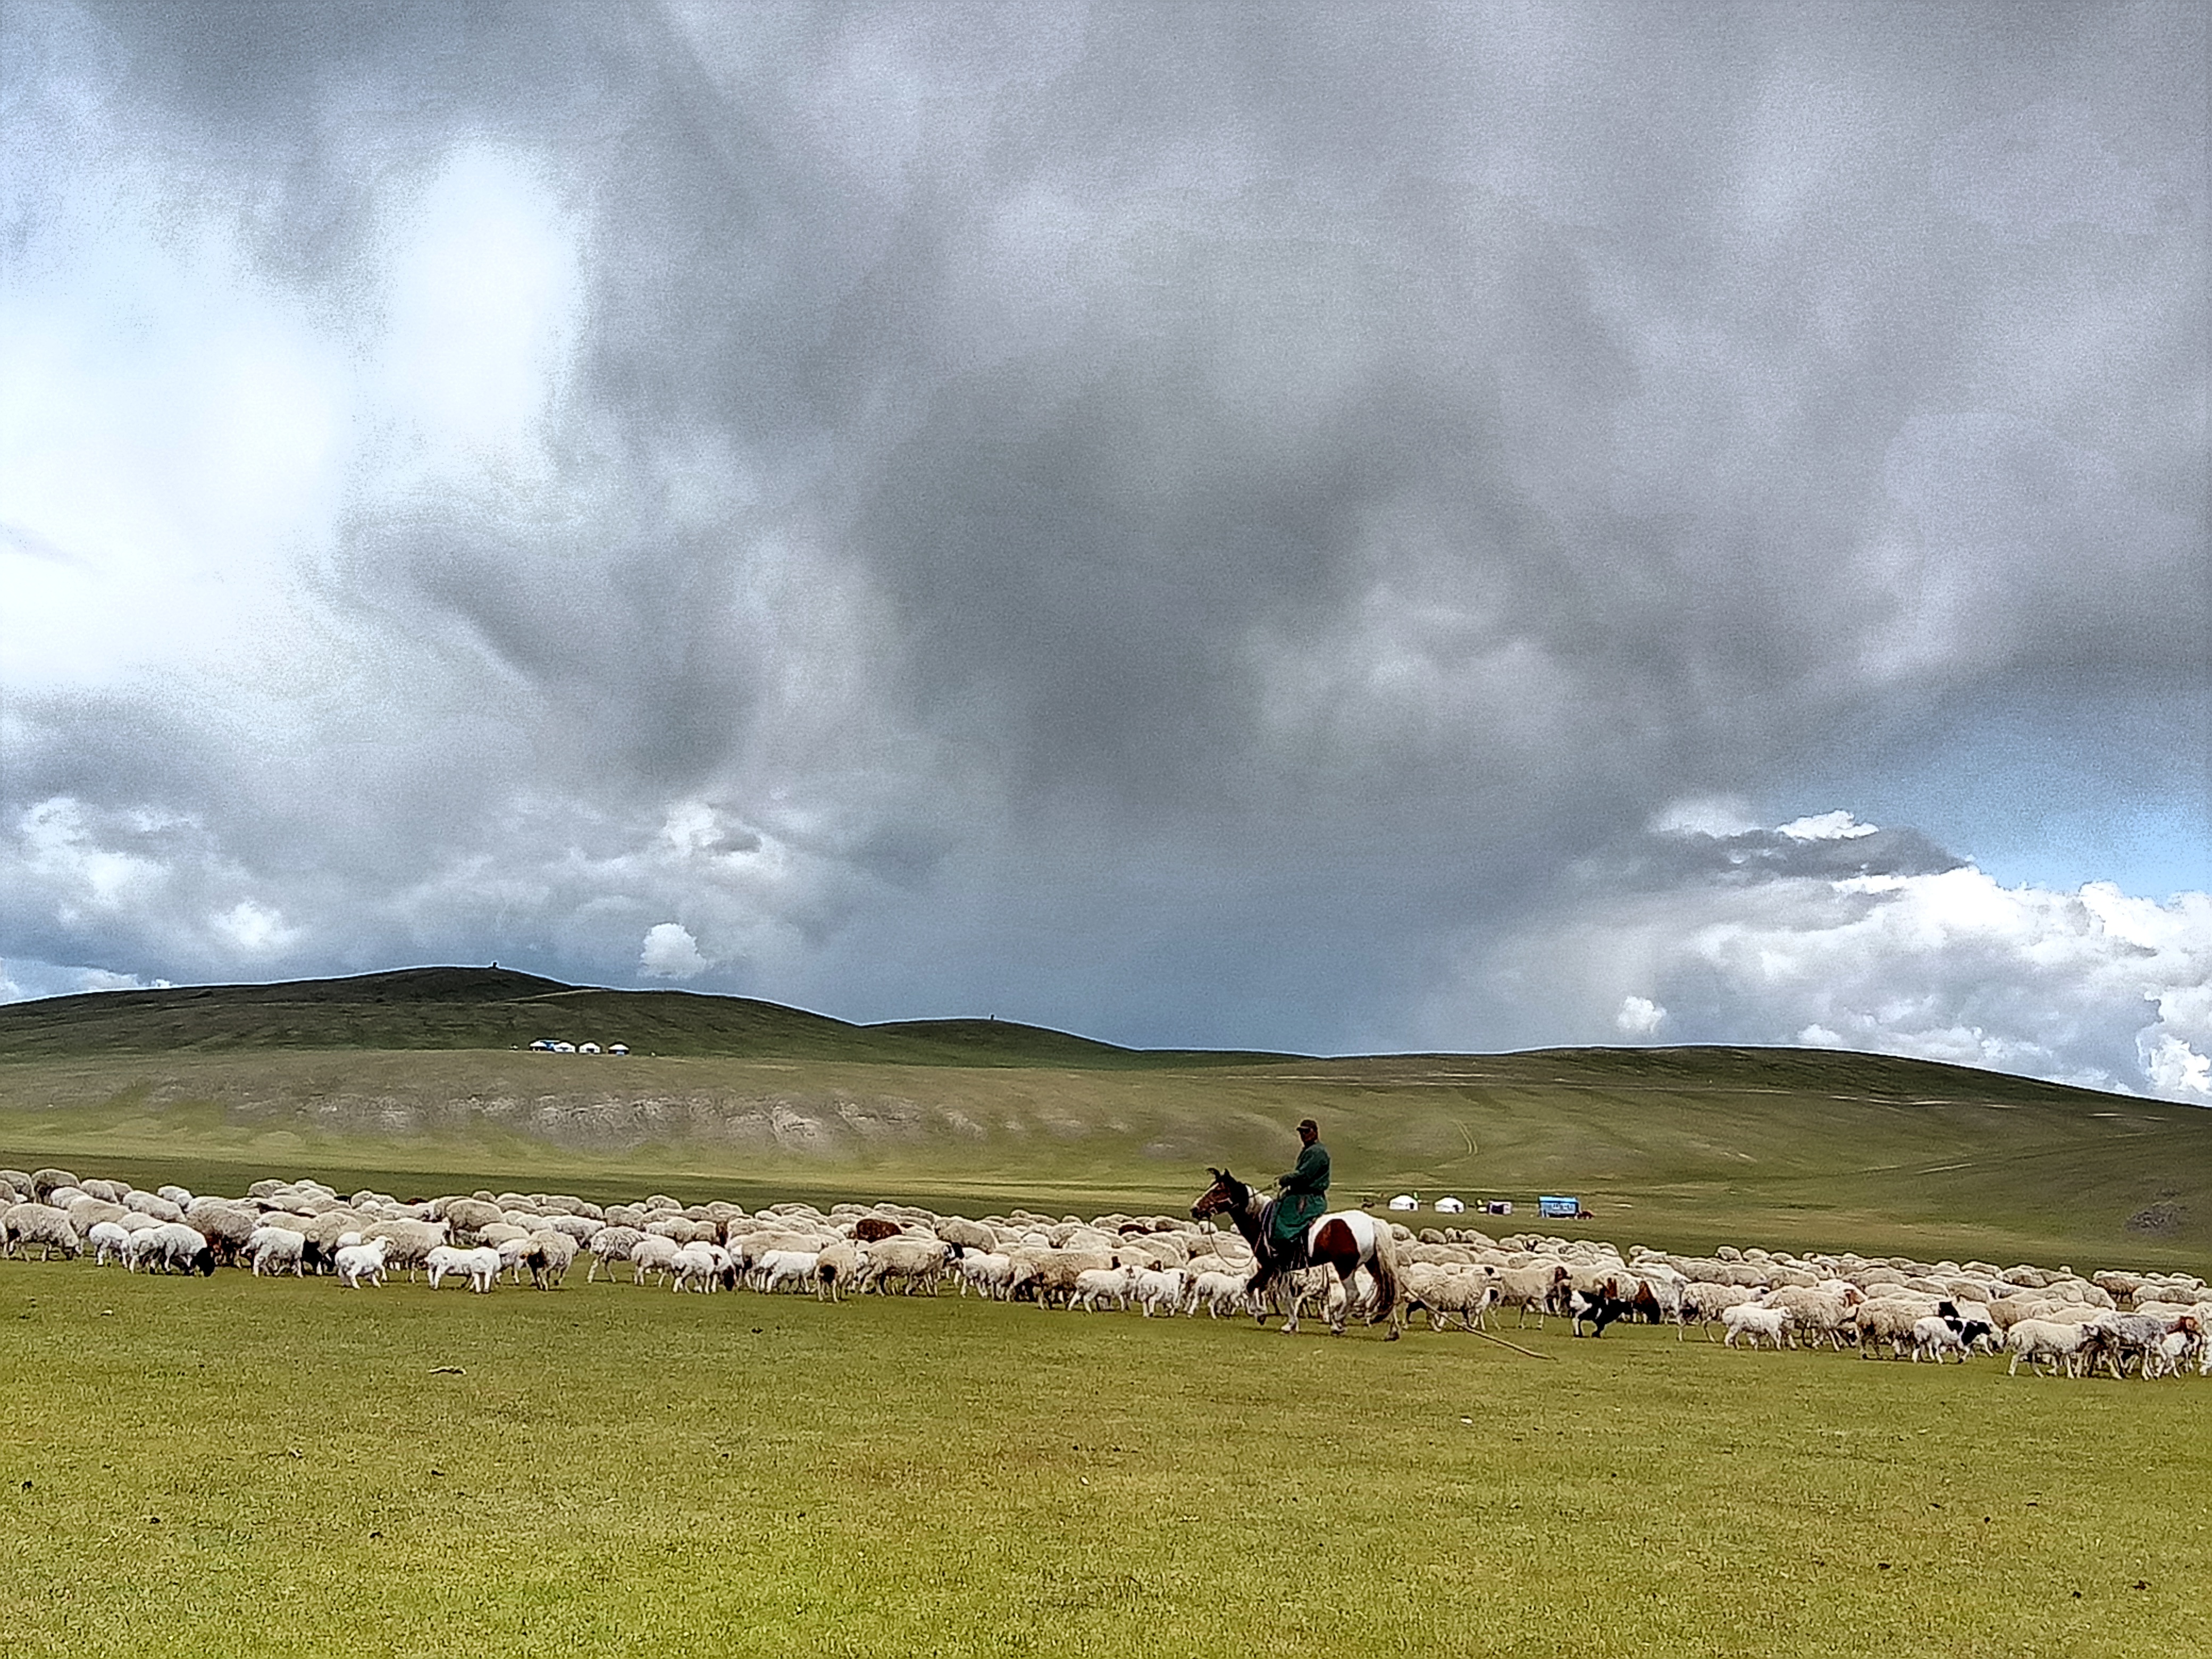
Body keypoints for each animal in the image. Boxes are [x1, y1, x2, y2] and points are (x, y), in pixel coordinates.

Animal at [1194, 1168, 1398, 1336]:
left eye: (1218, 1191)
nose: (1195, 1209)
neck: (1261, 1221)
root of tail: (1372, 1221)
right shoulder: (1283, 1268)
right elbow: (1287, 1296)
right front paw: (1290, 1324)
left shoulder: (1269, 1265)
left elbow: (1251, 1286)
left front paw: (1260, 1314)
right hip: (1372, 1264)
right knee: (1385, 1291)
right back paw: (1392, 1330)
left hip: (1345, 1267)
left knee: (1354, 1293)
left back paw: (1338, 1324)